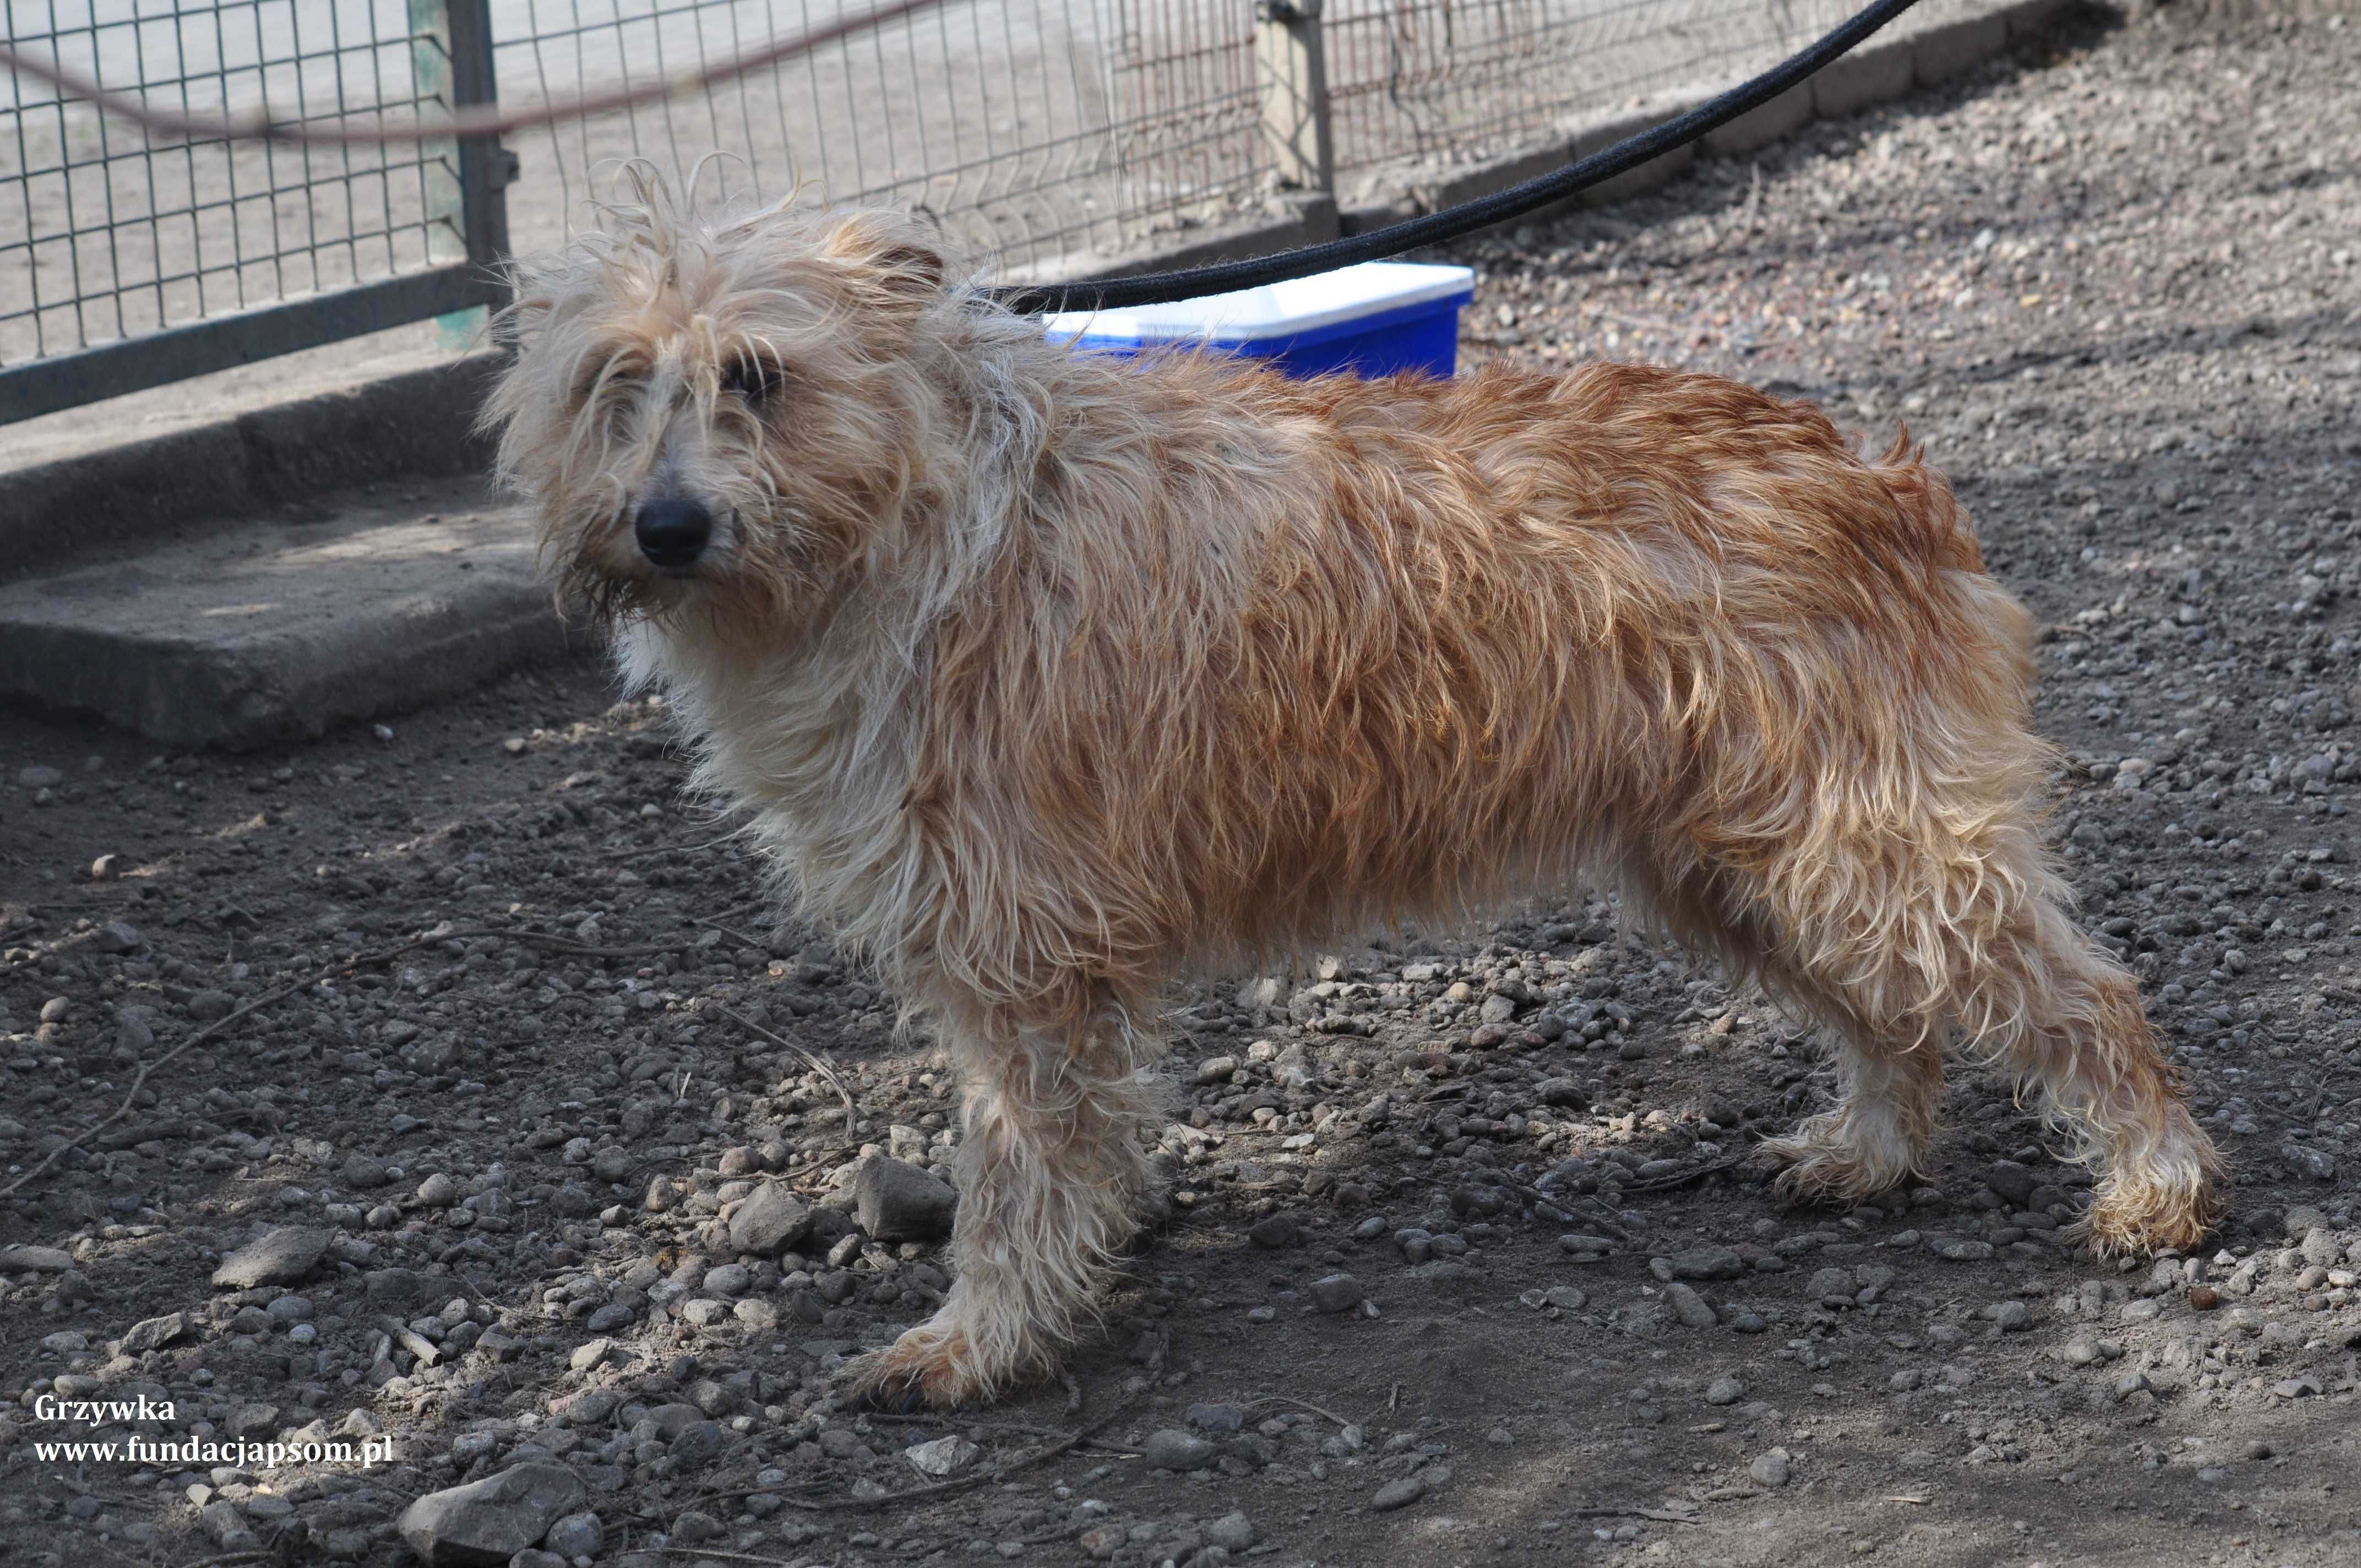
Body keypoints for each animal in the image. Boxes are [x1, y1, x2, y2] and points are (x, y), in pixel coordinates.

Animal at [488, 195, 2219, 1407]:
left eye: (759, 378)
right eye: (615, 385)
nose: (664, 525)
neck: (917, 525)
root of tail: (1867, 465)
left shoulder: (1019, 957)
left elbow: (1014, 1171)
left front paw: (982, 1335)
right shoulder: (1037, 957)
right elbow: (1076, 1144)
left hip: (1866, 839)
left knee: (2082, 996)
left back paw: (2154, 1181)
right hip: (1737, 855)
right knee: (1893, 1018)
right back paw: (1870, 1147)